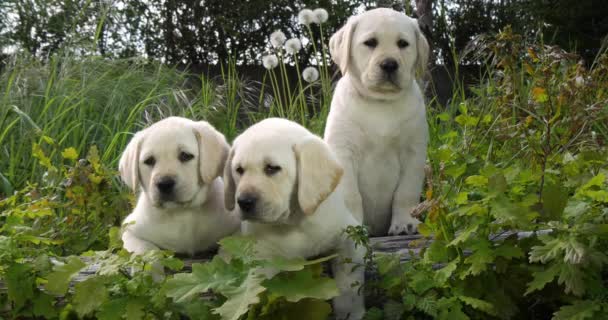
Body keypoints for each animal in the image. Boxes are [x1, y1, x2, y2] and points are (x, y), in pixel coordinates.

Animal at [119, 117, 240, 255]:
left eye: (185, 156)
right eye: (149, 161)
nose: (164, 184)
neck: (181, 213)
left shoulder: (237, 228)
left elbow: (229, 249)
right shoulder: (129, 230)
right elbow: (146, 250)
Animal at [224, 118, 364, 320]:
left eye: (272, 168)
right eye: (239, 170)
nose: (244, 202)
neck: (293, 222)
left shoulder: (350, 238)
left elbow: (349, 284)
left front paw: (350, 313)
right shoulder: (263, 259)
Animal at [326, 8, 430, 236]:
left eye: (403, 43)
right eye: (370, 42)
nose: (389, 64)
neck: (380, 102)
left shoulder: (414, 153)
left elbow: (405, 193)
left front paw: (405, 223)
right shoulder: (343, 152)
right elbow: (351, 195)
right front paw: (352, 228)